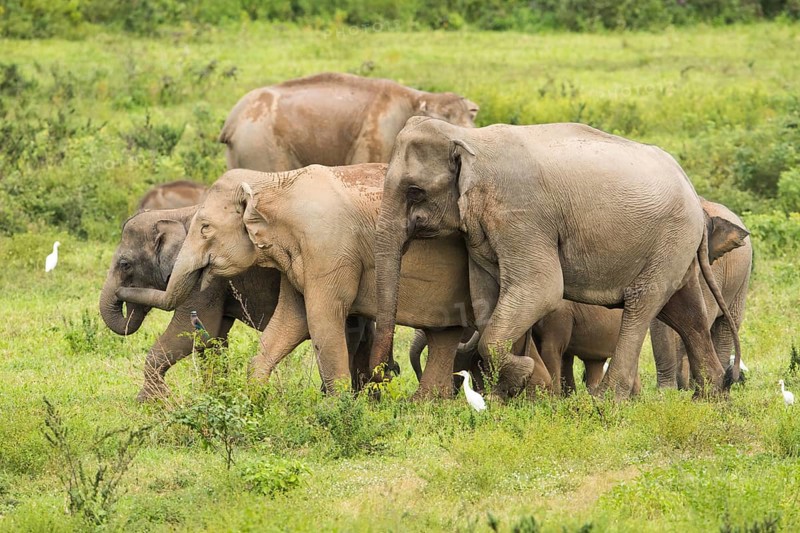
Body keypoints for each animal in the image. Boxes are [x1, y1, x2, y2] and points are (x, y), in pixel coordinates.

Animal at [100, 206, 374, 401]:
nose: (123, 295)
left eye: (125, 264)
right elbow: (211, 338)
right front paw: (214, 396)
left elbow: (191, 331)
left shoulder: (205, 278)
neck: (174, 212)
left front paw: (150, 402)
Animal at [219, 72, 479, 172]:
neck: (418, 97)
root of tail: (232, 120)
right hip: (262, 145)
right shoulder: (375, 135)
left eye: (472, 117)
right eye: (444, 122)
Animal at [371, 117, 744, 400]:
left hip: (670, 236)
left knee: (643, 303)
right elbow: (488, 295)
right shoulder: (480, 231)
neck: (468, 138)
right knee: (684, 311)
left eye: (414, 191)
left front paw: (523, 377)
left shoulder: (521, 215)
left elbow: (540, 288)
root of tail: (692, 191)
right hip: (674, 244)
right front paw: (515, 390)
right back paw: (712, 395)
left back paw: (605, 400)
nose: (390, 370)